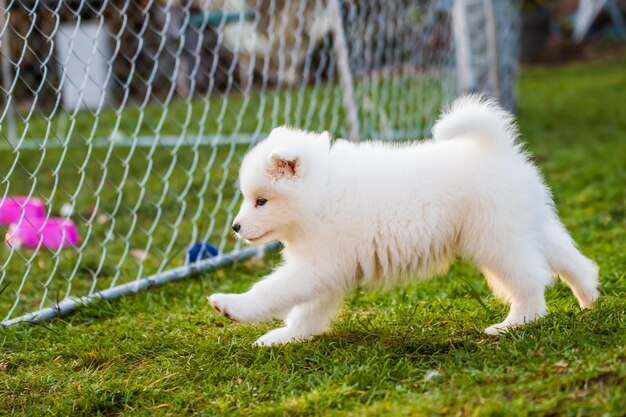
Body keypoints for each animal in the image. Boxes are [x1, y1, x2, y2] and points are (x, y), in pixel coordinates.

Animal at [207, 95, 596, 344]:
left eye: (261, 201)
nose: (235, 227)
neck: (321, 193)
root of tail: (495, 148)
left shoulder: (316, 265)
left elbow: (272, 290)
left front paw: (232, 306)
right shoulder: (327, 270)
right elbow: (308, 310)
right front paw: (286, 337)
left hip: (495, 239)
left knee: (531, 280)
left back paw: (513, 325)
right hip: (526, 225)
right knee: (569, 258)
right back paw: (589, 297)